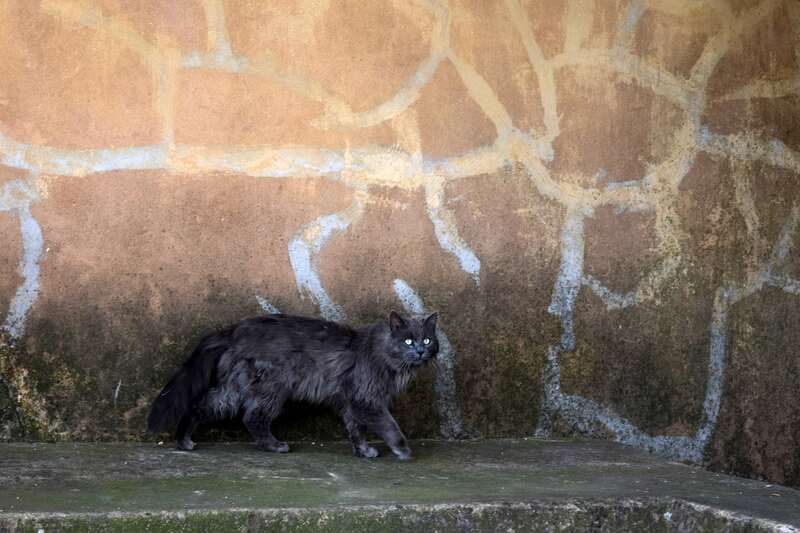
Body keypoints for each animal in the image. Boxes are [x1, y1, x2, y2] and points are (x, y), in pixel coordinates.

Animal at [147, 310, 440, 460]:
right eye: (408, 341)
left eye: (427, 340)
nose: (420, 351)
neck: (381, 353)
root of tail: (233, 330)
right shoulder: (365, 399)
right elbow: (389, 425)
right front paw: (402, 449)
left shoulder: (351, 402)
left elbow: (355, 428)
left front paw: (363, 450)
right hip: (270, 388)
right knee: (252, 417)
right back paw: (273, 446)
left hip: (235, 387)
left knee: (202, 405)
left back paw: (184, 439)